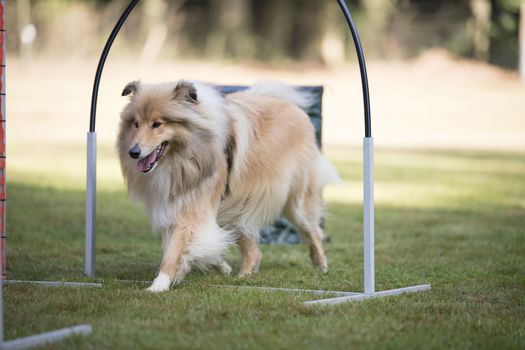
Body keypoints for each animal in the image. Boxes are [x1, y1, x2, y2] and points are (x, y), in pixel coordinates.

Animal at [116, 80, 338, 292]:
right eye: (136, 124)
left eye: (157, 124)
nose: (133, 152)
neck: (182, 155)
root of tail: (294, 109)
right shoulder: (175, 206)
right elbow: (189, 245)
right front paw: (216, 265)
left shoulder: (192, 209)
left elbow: (175, 249)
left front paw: (159, 284)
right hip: (236, 207)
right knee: (254, 251)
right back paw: (243, 275)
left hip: (295, 202)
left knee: (313, 231)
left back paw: (321, 264)